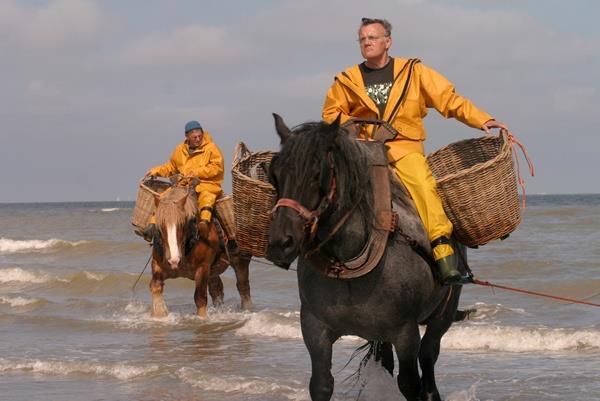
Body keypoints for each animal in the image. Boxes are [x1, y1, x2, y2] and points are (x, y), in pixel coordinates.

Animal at [152, 183, 253, 318]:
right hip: (213, 271)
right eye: (160, 226)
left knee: (243, 287)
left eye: (182, 224)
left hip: (239, 261)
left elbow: (200, 298)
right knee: (217, 290)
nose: (173, 261)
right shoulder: (157, 264)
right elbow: (156, 287)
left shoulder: (203, 267)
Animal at [268, 114, 468, 398]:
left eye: (317, 174)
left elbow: (410, 383)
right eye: (274, 175)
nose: (280, 243)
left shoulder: (405, 333)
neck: (348, 264)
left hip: (443, 317)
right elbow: (321, 384)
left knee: (428, 358)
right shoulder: (314, 329)